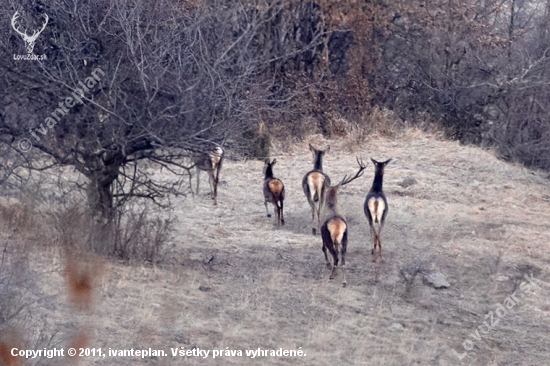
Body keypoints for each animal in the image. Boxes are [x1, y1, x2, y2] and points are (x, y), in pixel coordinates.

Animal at [322, 157, 368, 286]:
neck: (331, 205)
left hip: (330, 238)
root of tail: (338, 228)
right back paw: (344, 281)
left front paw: (328, 265)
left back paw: (331, 276)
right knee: (342, 258)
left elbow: (323, 248)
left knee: (336, 256)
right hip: (345, 239)